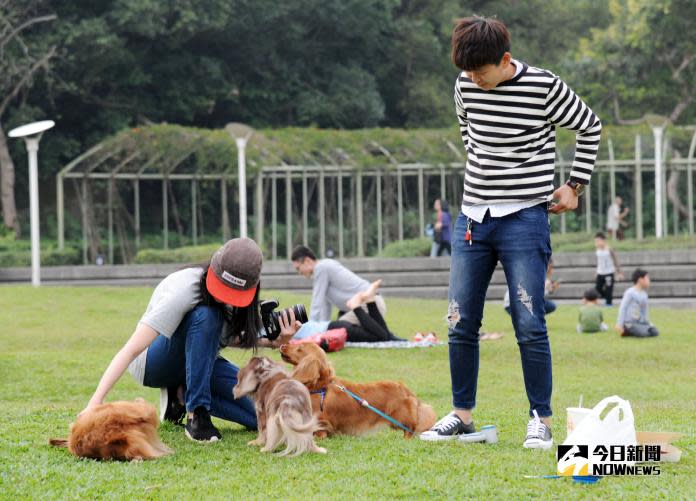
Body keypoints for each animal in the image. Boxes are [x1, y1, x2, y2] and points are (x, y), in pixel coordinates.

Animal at [278, 342, 436, 436]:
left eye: (299, 348)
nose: (282, 345)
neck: (320, 387)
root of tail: (406, 390)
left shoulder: (320, 423)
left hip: (402, 420)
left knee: (411, 430)